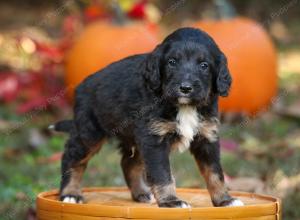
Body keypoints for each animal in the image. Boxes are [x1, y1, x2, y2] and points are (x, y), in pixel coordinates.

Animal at [51, 27, 244, 208]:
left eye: (204, 65)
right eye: (172, 62)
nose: (185, 88)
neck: (185, 107)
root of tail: (81, 87)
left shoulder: (206, 137)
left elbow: (215, 173)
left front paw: (225, 200)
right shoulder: (154, 139)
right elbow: (163, 174)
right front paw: (171, 201)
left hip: (133, 138)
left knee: (128, 163)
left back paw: (142, 193)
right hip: (89, 132)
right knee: (71, 159)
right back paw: (70, 194)